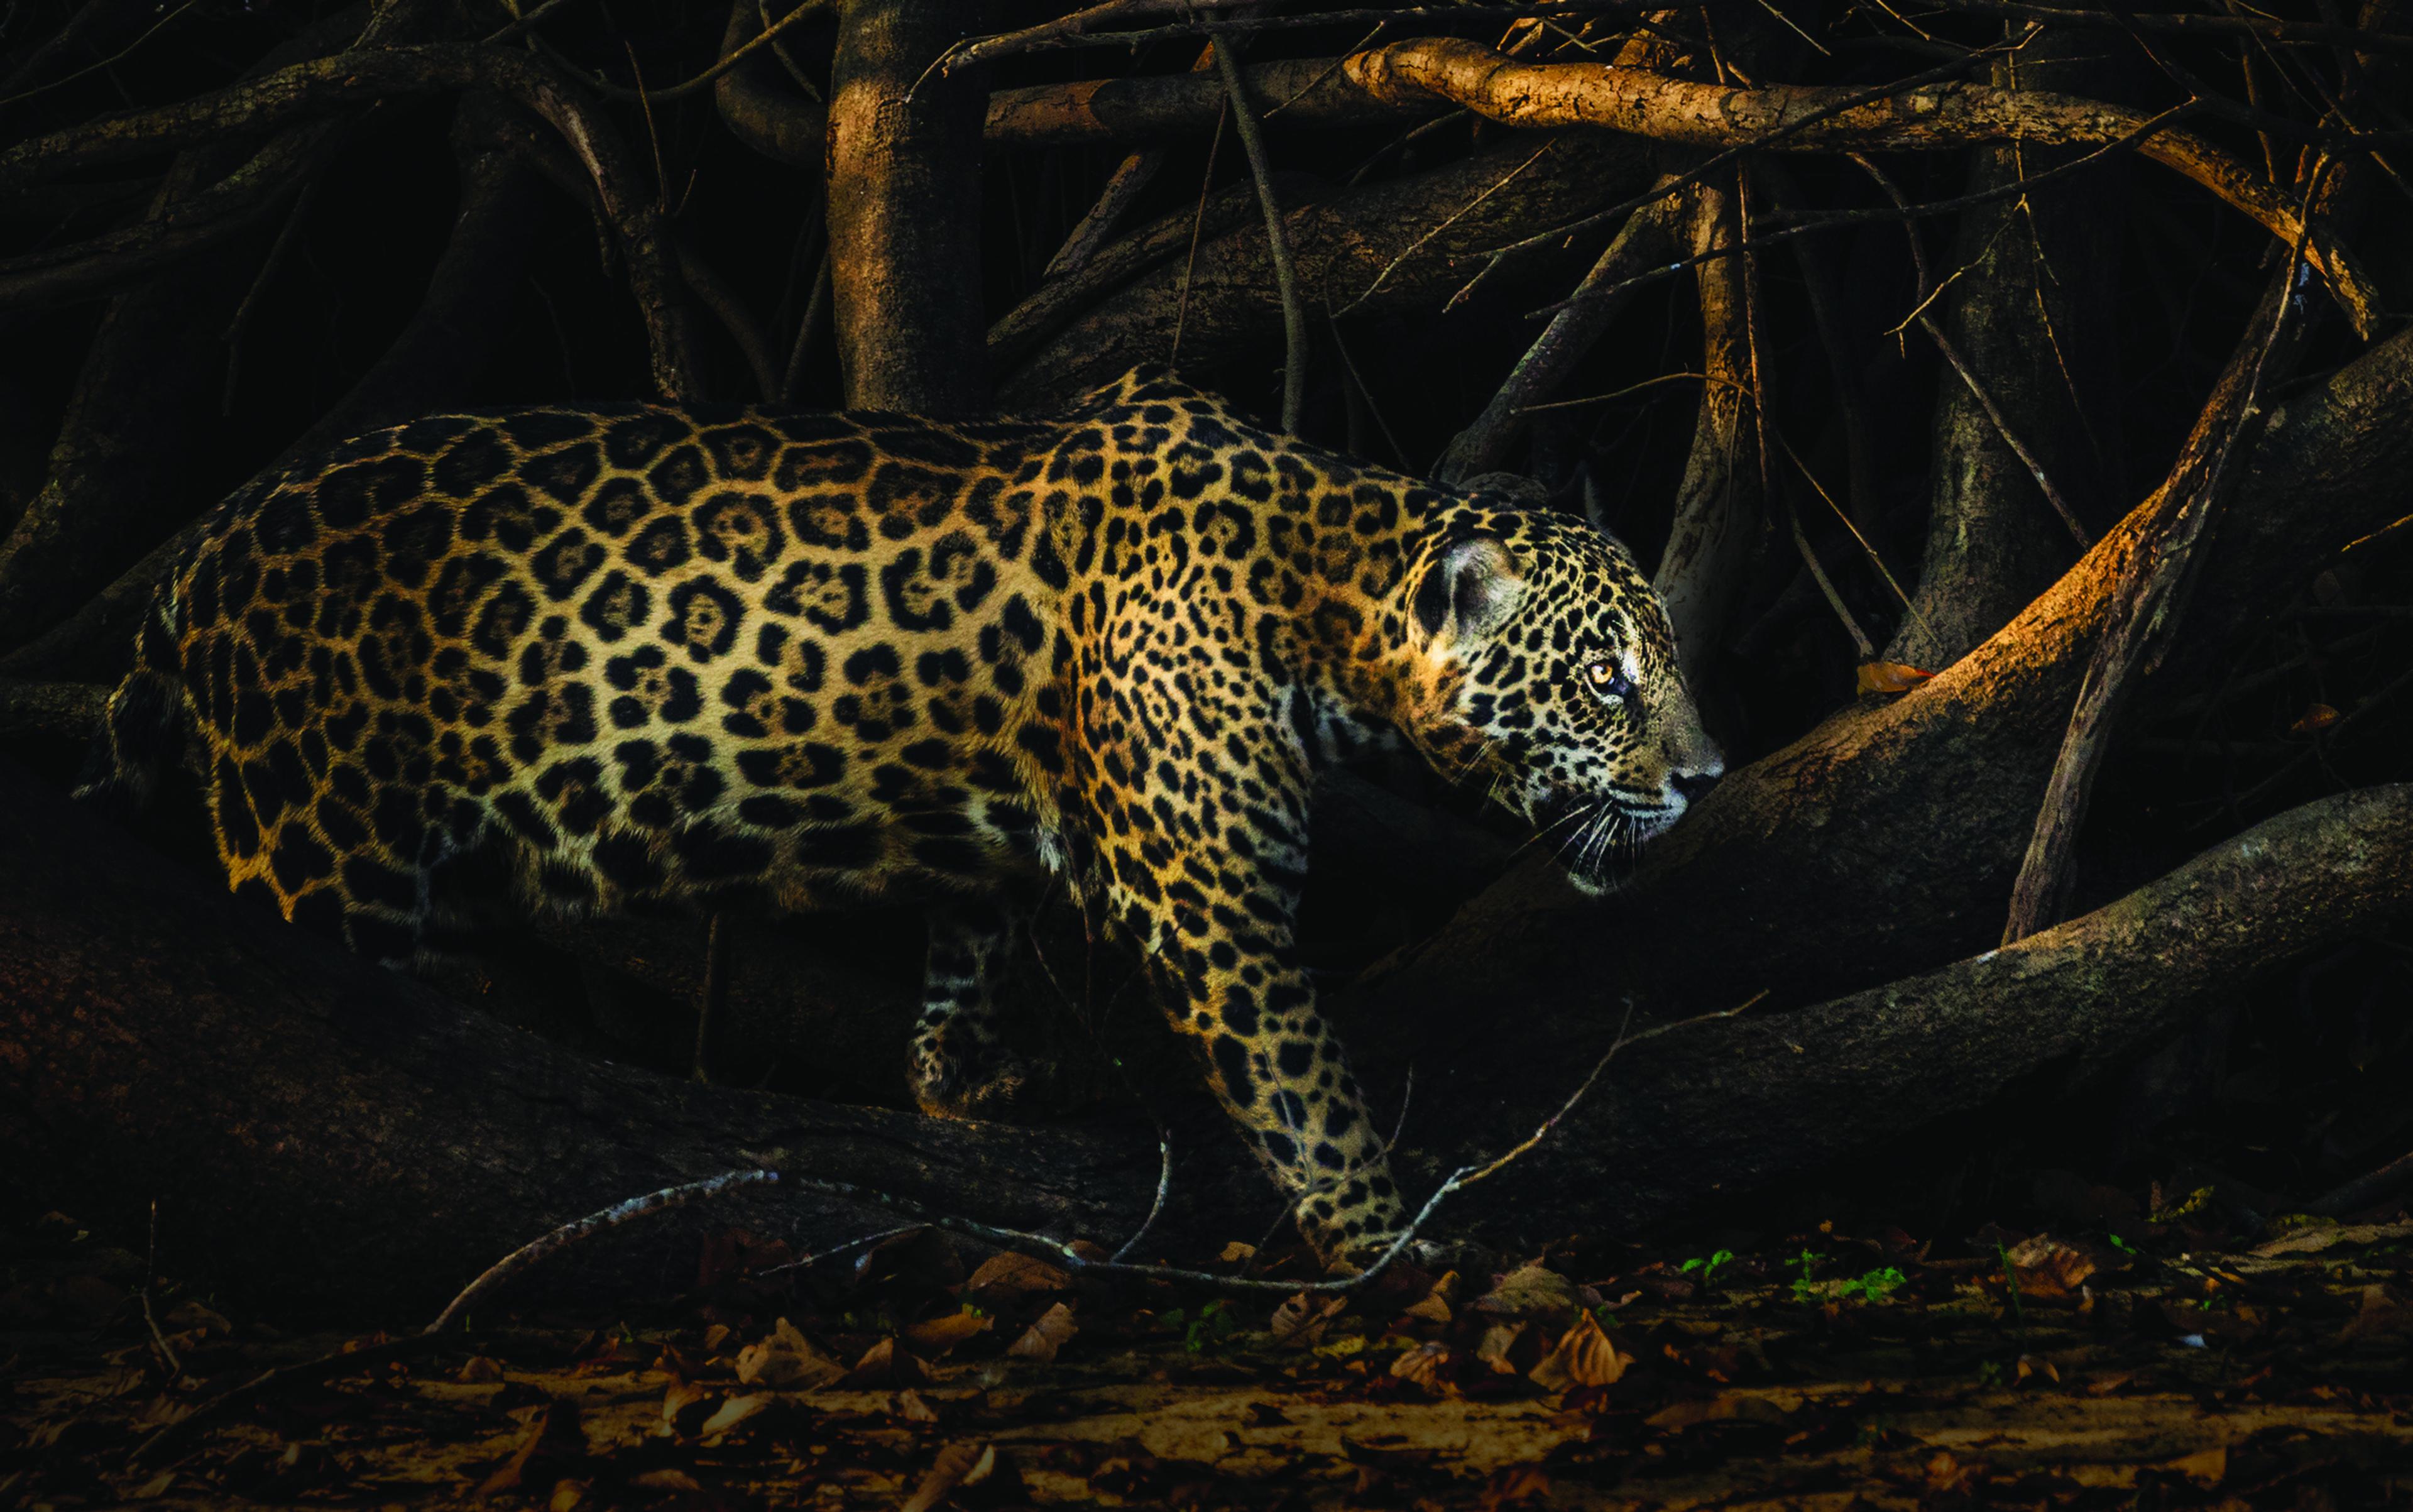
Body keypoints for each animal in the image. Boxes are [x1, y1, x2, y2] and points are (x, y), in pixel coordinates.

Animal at [78, 364, 1723, 1269]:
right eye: (1606, 676)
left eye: (1670, 659)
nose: (1705, 776)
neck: (1318, 585)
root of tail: (199, 554)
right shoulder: (1213, 905)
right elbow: (1306, 1090)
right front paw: (1389, 1242)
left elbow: (973, 925)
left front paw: (960, 1078)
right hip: (320, 839)